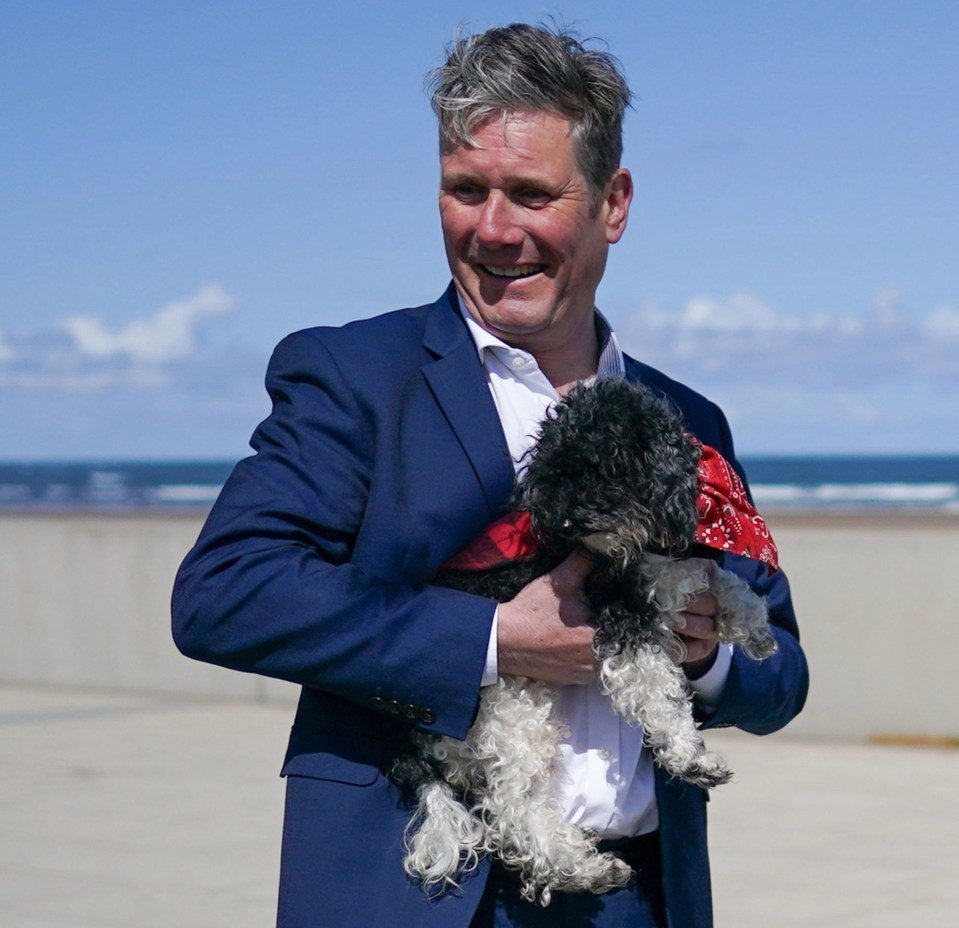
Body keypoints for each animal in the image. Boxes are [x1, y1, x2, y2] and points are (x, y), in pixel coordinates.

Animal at [390, 376, 780, 908]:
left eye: (608, 462)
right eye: (559, 471)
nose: (567, 524)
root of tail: (413, 741)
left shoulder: (670, 571)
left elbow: (719, 576)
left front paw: (752, 622)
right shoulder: (624, 621)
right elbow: (660, 696)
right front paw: (690, 757)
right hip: (511, 710)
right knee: (513, 806)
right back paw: (579, 868)